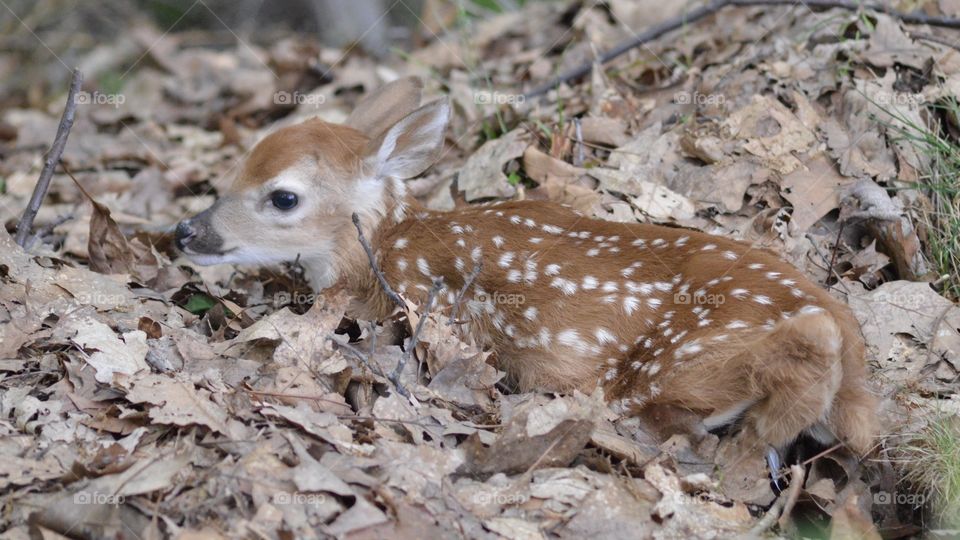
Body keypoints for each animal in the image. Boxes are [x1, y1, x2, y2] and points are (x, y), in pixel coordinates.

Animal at [178, 76, 876, 456]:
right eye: (235, 169)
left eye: (283, 197)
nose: (185, 230)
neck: (386, 245)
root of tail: (845, 325)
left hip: (681, 361)